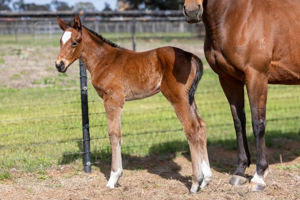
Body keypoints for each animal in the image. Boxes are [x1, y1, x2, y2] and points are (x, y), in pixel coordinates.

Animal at [55, 14, 212, 193]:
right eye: (60, 41)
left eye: (75, 42)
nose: (59, 65)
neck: (103, 60)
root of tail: (191, 56)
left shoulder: (113, 99)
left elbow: (114, 134)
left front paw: (113, 178)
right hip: (189, 98)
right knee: (201, 126)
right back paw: (206, 179)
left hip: (178, 97)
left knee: (191, 129)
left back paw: (195, 183)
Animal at [183, 0, 300, 191]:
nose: (192, 12)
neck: (237, 16)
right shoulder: (229, 80)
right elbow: (239, 122)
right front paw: (240, 171)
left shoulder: (256, 77)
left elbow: (258, 123)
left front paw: (259, 175)